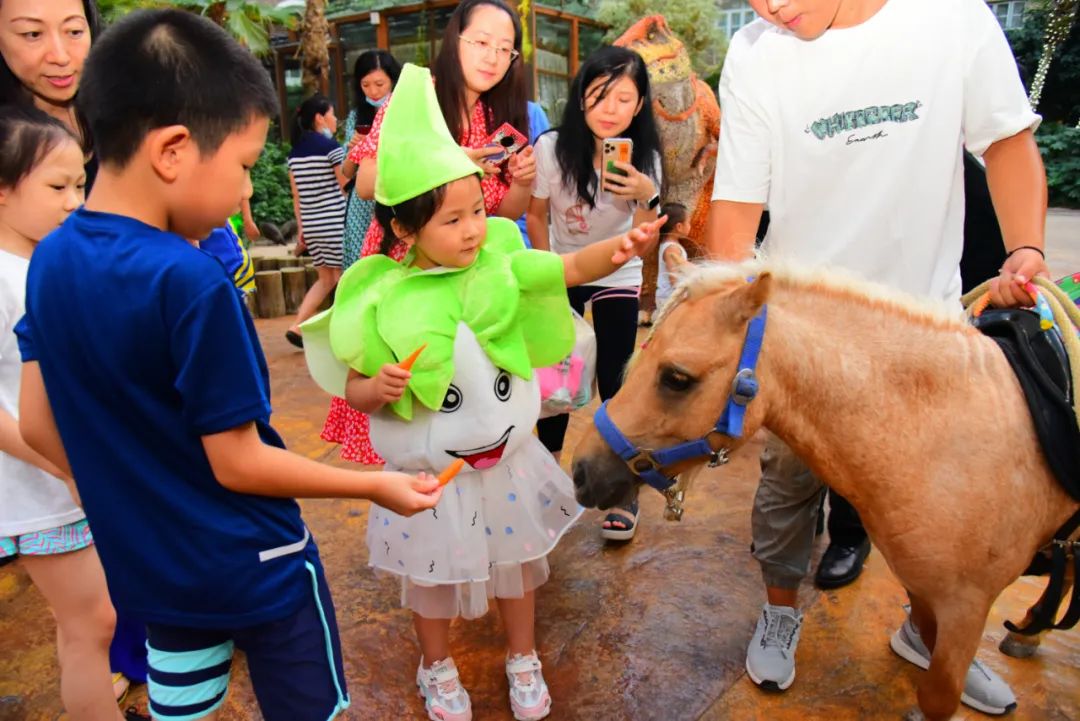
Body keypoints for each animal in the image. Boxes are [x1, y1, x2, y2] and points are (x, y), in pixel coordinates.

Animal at [570, 266, 1075, 721]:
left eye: (676, 378)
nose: (579, 471)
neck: (938, 439)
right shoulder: (927, 587)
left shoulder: (966, 605)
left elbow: (937, 694)